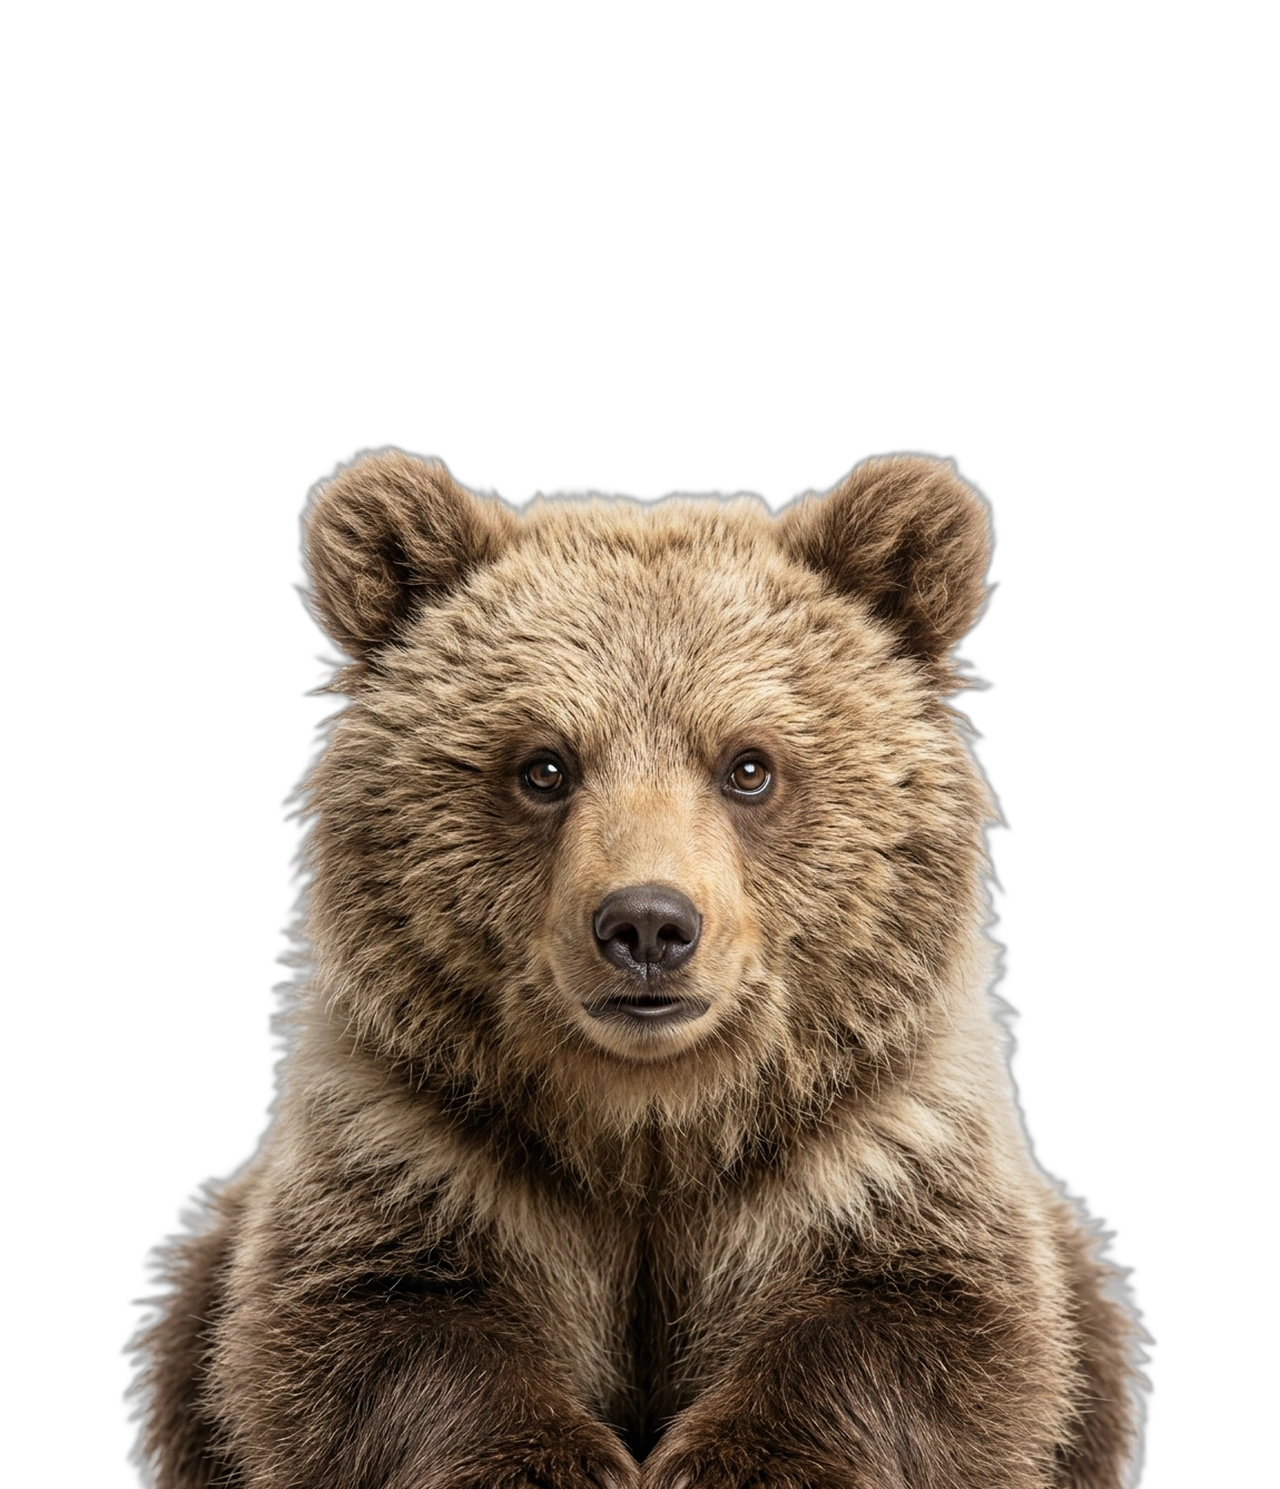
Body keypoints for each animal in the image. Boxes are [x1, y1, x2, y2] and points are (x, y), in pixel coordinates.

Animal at [131, 449, 1146, 1488]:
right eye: (543, 765)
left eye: (749, 765)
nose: (648, 923)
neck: (650, 1129)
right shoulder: (415, 1138)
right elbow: (362, 1328)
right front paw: (556, 1460)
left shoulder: (876, 1140)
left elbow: (931, 1324)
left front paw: (736, 1461)